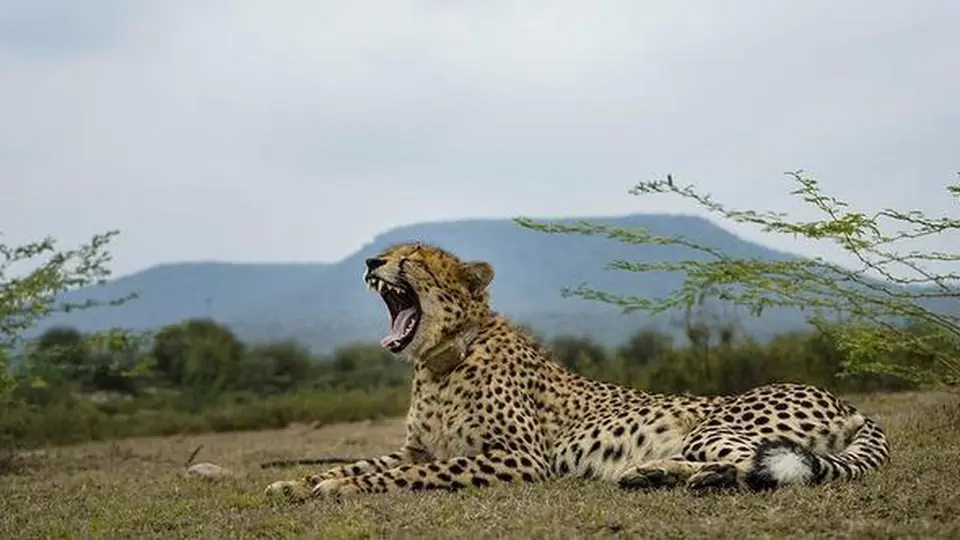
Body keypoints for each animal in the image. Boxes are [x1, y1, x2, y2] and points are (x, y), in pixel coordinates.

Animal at [264, 242, 890, 500]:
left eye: (411, 258)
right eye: (388, 252)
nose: (372, 261)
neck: (441, 361)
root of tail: (846, 402)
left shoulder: (521, 457)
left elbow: (411, 474)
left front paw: (338, 486)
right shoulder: (414, 448)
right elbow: (369, 460)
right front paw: (298, 480)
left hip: (717, 424)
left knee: (760, 467)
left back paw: (692, 478)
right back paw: (654, 474)